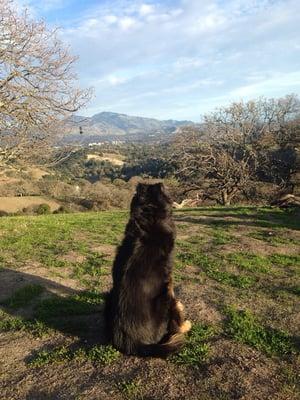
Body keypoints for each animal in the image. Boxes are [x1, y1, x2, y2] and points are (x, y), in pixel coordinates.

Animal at [104, 182, 191, 356]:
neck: (148, 219)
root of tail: (133, 343)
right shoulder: (169, 281)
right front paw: (184, 323)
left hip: (108, 296)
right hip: (165, 299)